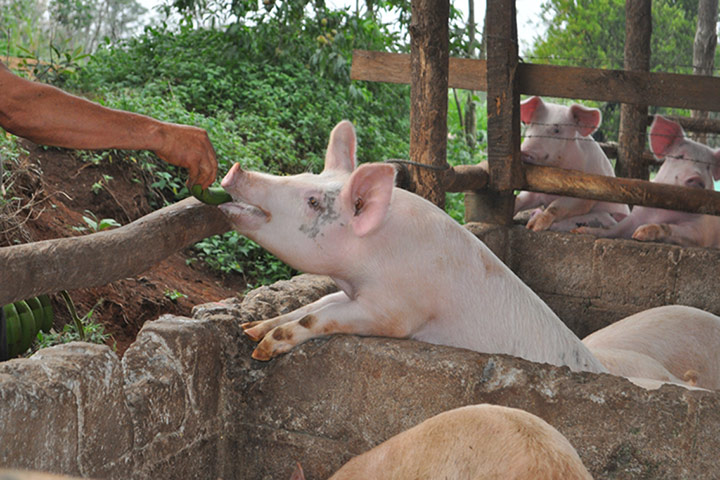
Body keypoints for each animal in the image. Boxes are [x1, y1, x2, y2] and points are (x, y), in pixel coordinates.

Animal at [219, 120, 608, 373]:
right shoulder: (353, 291)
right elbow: (319, 302)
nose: (235, 169)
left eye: (312, 201)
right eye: (305, 175)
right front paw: (251, 329)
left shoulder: (396, 310)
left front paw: (263, 350)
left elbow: (322, 315)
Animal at [515, 96, 629, 231]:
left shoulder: (586, 194)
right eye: (532, 125)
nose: (524, 151)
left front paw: (533, 226)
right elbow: (521, 199)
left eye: (557, 130)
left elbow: (556, 206)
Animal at [575, 115, 720, 248]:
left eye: (708, 167)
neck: (664, 212)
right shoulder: (638, 212)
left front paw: (639, 234)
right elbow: (615, 229)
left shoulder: (701, 229)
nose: (697, 178)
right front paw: (580, 231)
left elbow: (678, 230)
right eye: (680, 156)